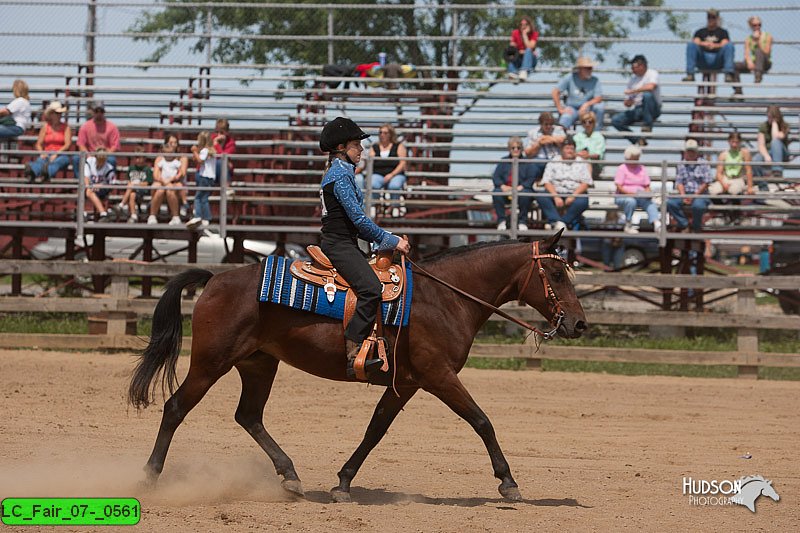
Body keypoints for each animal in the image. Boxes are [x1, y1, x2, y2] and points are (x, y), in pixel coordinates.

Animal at [128, 231, 584, 500]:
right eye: (557, 272)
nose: (579, 324)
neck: (445, 298)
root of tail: (214, 280)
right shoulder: (438, 376)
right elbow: (482, 420)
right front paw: (508, 482)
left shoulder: (407, 383)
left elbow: (375, 430)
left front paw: (344, 482)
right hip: (211, 363)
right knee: (176, 408)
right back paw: (148, 477)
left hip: (259, 364)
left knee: (249, 416)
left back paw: (290, 476)